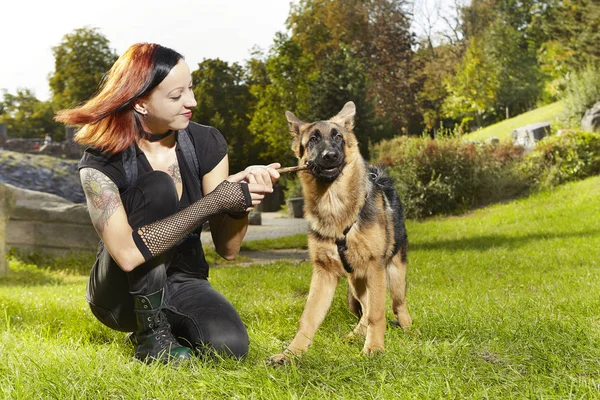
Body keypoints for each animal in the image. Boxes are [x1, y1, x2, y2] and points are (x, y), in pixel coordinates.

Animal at [268, 101, 412, 364]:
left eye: (338, 137)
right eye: (313, 139)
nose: (330, 156)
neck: (334, 205)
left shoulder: (375, 268)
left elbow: (378, 313)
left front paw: (375, 348)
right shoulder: (323, 274)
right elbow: (309, 318)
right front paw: (292, 353)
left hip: (393, 274)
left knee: (397, 305)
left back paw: (408, 329)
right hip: (356, 281)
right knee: (365, 308)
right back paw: (356, 335)